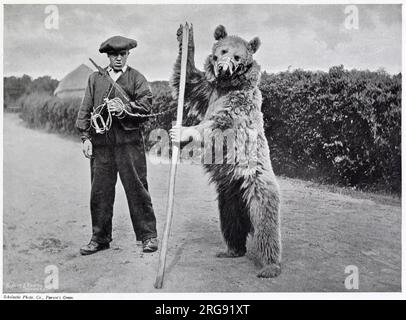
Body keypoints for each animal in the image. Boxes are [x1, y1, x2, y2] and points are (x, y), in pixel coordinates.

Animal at [170, 24, 280, 278]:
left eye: (238, 57)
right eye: (222, 50)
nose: (223, 68)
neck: (227, 86)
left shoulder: (238, 105)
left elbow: (218, 122)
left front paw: (181, 131)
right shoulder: (206, 90)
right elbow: (187, 80)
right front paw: (185, 36)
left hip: (257, 180)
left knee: (265, 218)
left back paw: (270, 265)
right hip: (229, 192)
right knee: (230, 218)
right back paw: (232, 250)